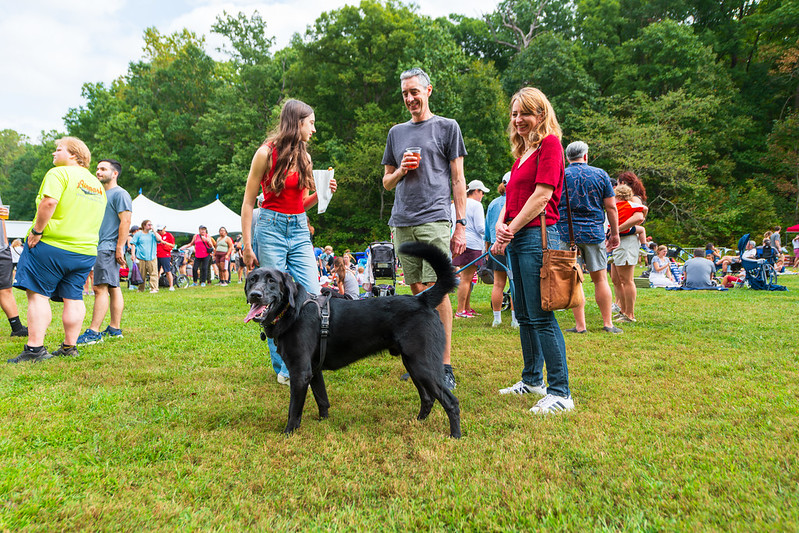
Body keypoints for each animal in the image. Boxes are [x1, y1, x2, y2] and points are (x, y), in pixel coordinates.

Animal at [247, 243, 466, 438]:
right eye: (251, 280)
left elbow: (294, 410)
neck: (294, 310)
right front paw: (323, 422)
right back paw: (418, 421)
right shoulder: (314, 371)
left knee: (451, 402)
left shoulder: (300, 373)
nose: (255, 295)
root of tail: (422, 299)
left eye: (271, 281)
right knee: (428, 398)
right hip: (413, 365)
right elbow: (322, 399)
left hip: (423, 365)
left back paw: (455, 435)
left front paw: (288, 433)